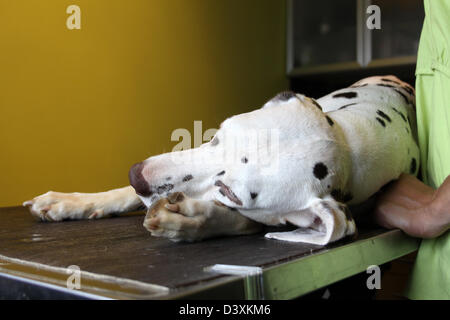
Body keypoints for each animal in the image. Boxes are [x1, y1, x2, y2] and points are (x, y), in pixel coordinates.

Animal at [23, 75, 418, 245]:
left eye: (228, 191)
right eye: (217, 135)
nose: (139, 176)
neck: (354, 141)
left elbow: (247, 222)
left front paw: (193, 221)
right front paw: (72, 201)